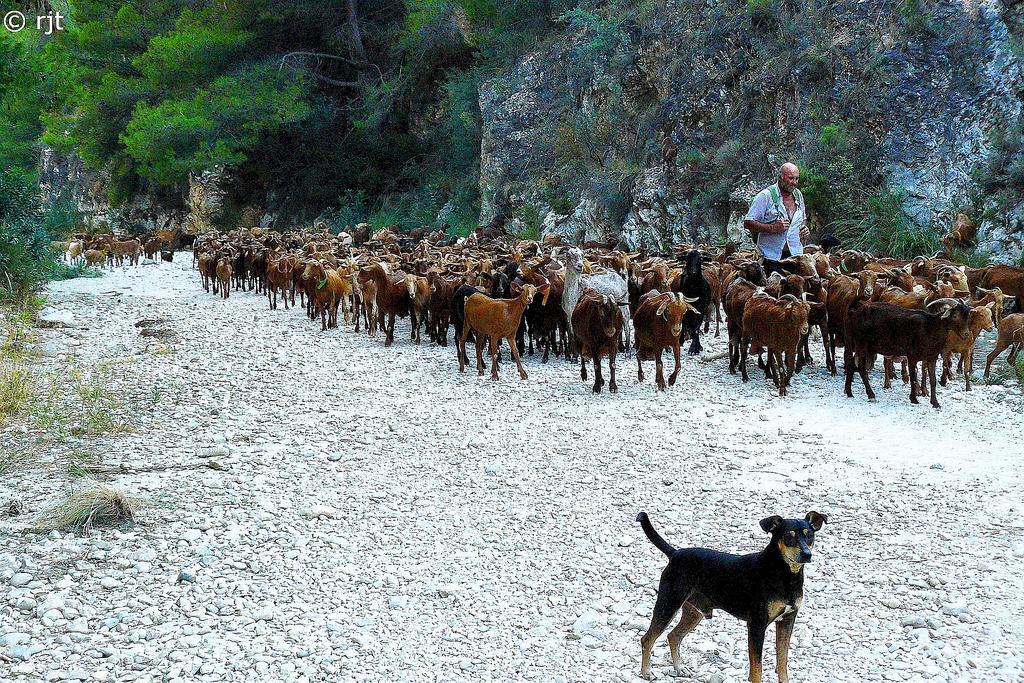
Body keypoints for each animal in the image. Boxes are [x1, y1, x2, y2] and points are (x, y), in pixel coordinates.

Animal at [634, 509, 827, 679]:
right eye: (788, 537)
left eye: (809, 535)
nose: (807, 554)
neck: (784, 574)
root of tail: (675, 553)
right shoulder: (757, 626)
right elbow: (757, 668)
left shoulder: (787, 621)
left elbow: (782, 661)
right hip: (668, 605)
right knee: (647, 639)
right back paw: (646, 672)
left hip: (693, 613)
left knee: (673, 636)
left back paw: (680, 668)